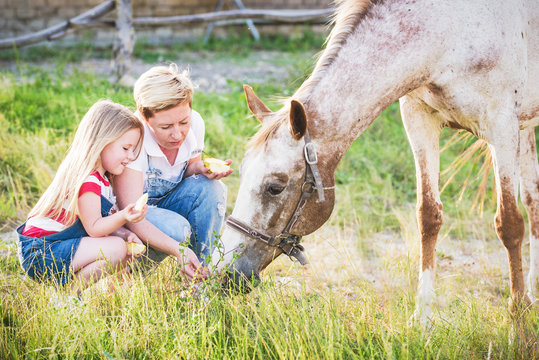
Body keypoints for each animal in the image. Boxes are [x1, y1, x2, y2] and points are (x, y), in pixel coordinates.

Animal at [212, 0, 539, 324]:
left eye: (275, 187)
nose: (225, 272)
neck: (448, 33)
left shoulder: (501, 128)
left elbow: (509, 224)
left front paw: (518, 318)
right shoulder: (420, 119)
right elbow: (428, 215)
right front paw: (422, 318)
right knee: (533, 200)